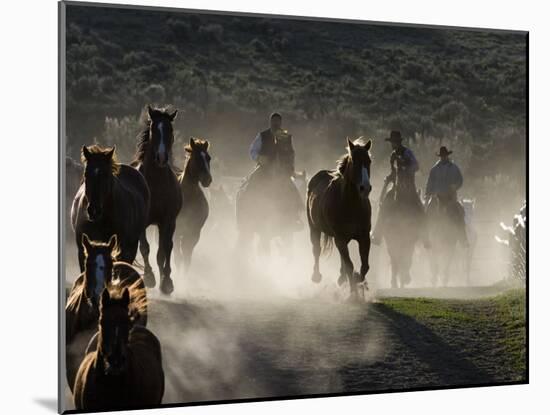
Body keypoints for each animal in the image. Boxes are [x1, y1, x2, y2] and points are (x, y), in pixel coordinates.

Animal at [133, 105, 183, 294]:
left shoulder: (168, 220)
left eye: (170, 130)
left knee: (165, 247)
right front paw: (149, 276)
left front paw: (166, 281)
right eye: (154, 130)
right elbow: (145, 247)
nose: (162, 157)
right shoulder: (141, 222)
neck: (156, 183)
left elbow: (164, 249)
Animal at [177, 138, 213, 272]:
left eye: (208, 158)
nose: (208, 179)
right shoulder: (176, 232)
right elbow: (177, 258)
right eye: (197, 158)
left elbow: (187, 258)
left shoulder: (193, 234)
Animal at [308, 138, 374, 300]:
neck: (351, 205)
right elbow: (350, 264)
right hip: (314, 228)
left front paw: (357, 280)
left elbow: (364, 266)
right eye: (354, 162)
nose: (365, 188)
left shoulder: (364, 237)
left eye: (369, 161)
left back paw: (341, 278)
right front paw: (353, 294)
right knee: (316, 249)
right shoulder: (340, 237)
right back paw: (317, 276)